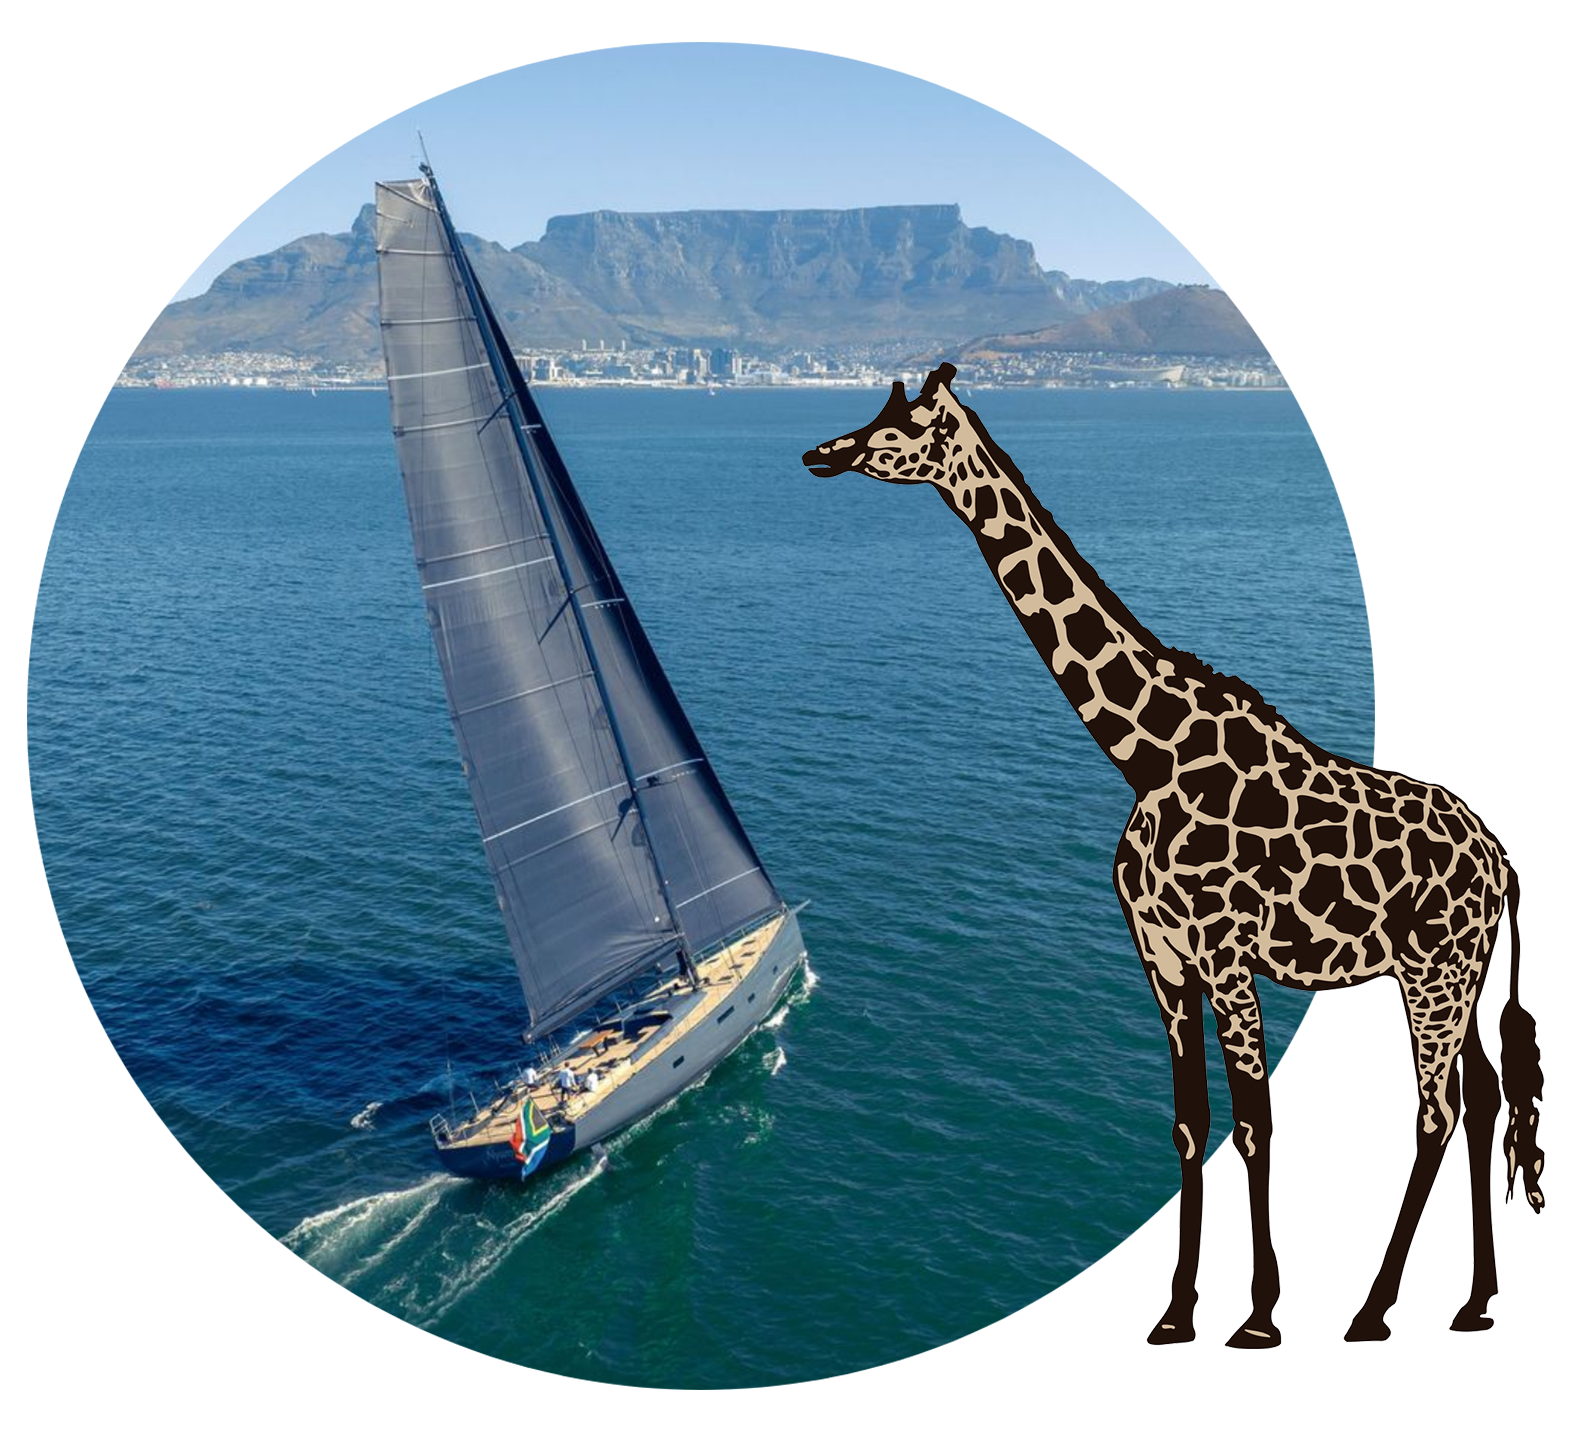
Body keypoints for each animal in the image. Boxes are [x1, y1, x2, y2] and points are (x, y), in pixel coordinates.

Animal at [803, 363, 1545, 1347]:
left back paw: (1371, 1311)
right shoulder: (1160, 957)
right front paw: (1174, 1315)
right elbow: (1191, 1126)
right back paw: (1473, 1303)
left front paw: (1259, 1319)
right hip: (1449, 971)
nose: (819, 452)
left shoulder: (1228, 955)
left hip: (1437, 971)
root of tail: (1504, 863)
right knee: (1485, 1098)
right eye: (876, 413)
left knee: (1437, 1114)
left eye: (901, 428)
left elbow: (1256, 1123)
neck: (1148, 754)